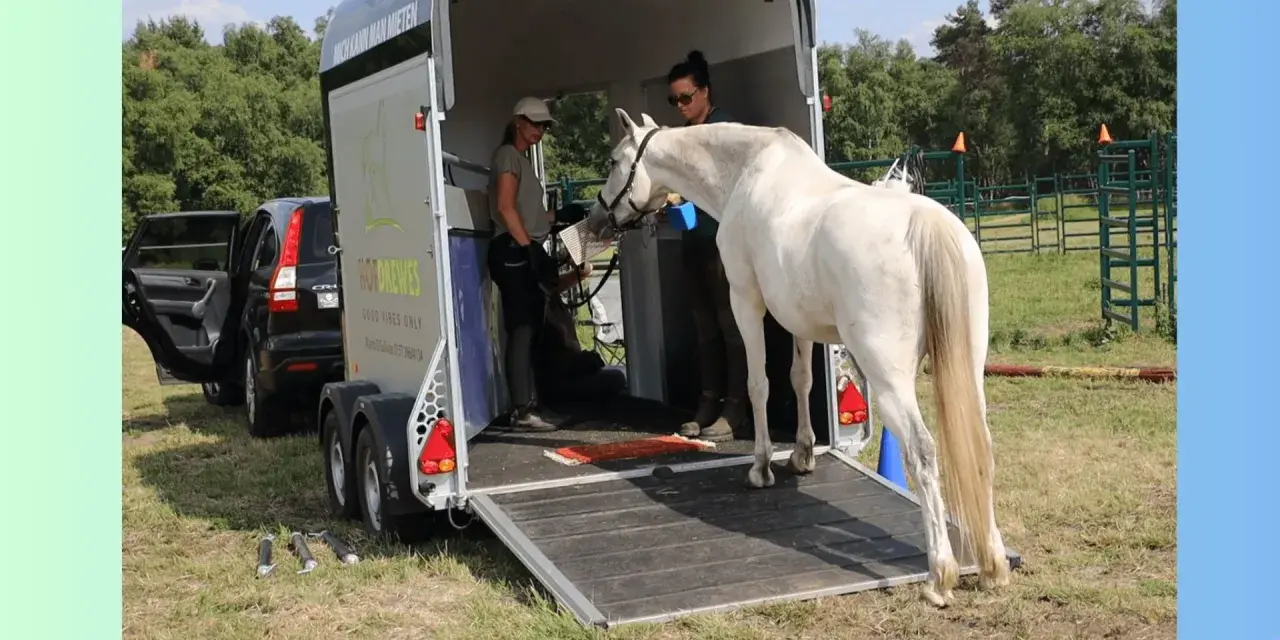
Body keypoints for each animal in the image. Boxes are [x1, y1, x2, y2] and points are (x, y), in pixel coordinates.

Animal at [584, 109, 1010, 607]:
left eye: (614, 161)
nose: (597, 218)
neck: (746, 173)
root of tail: (927, 225)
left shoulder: (746, 303)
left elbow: (759, 384)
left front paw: (762, 467)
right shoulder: (799, 320)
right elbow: (801, 378)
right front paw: (803, 455)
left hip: (889, 379)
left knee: (922, 452)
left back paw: (939, 575)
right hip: (968, 369)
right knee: (981, 447)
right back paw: (993, 564)